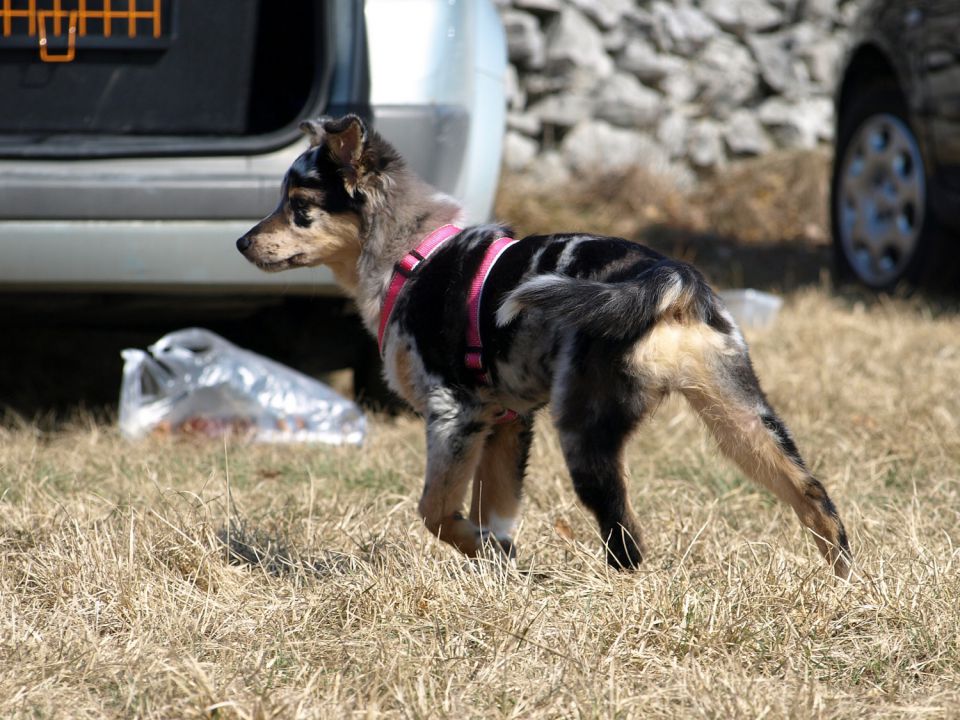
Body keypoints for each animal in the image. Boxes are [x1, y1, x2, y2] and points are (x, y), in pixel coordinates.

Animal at [236, 115, 852, 576]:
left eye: (299, 208)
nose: (242, 242)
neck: (410, 257)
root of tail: (668, 275)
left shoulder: (454, 413)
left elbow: (436, 511)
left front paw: (486, 551)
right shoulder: (505, 420)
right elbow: (495, 508)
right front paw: (499, 563)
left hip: (586, 428)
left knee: (626, 536)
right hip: (741, 417)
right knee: (812, 494)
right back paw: (842, 580)